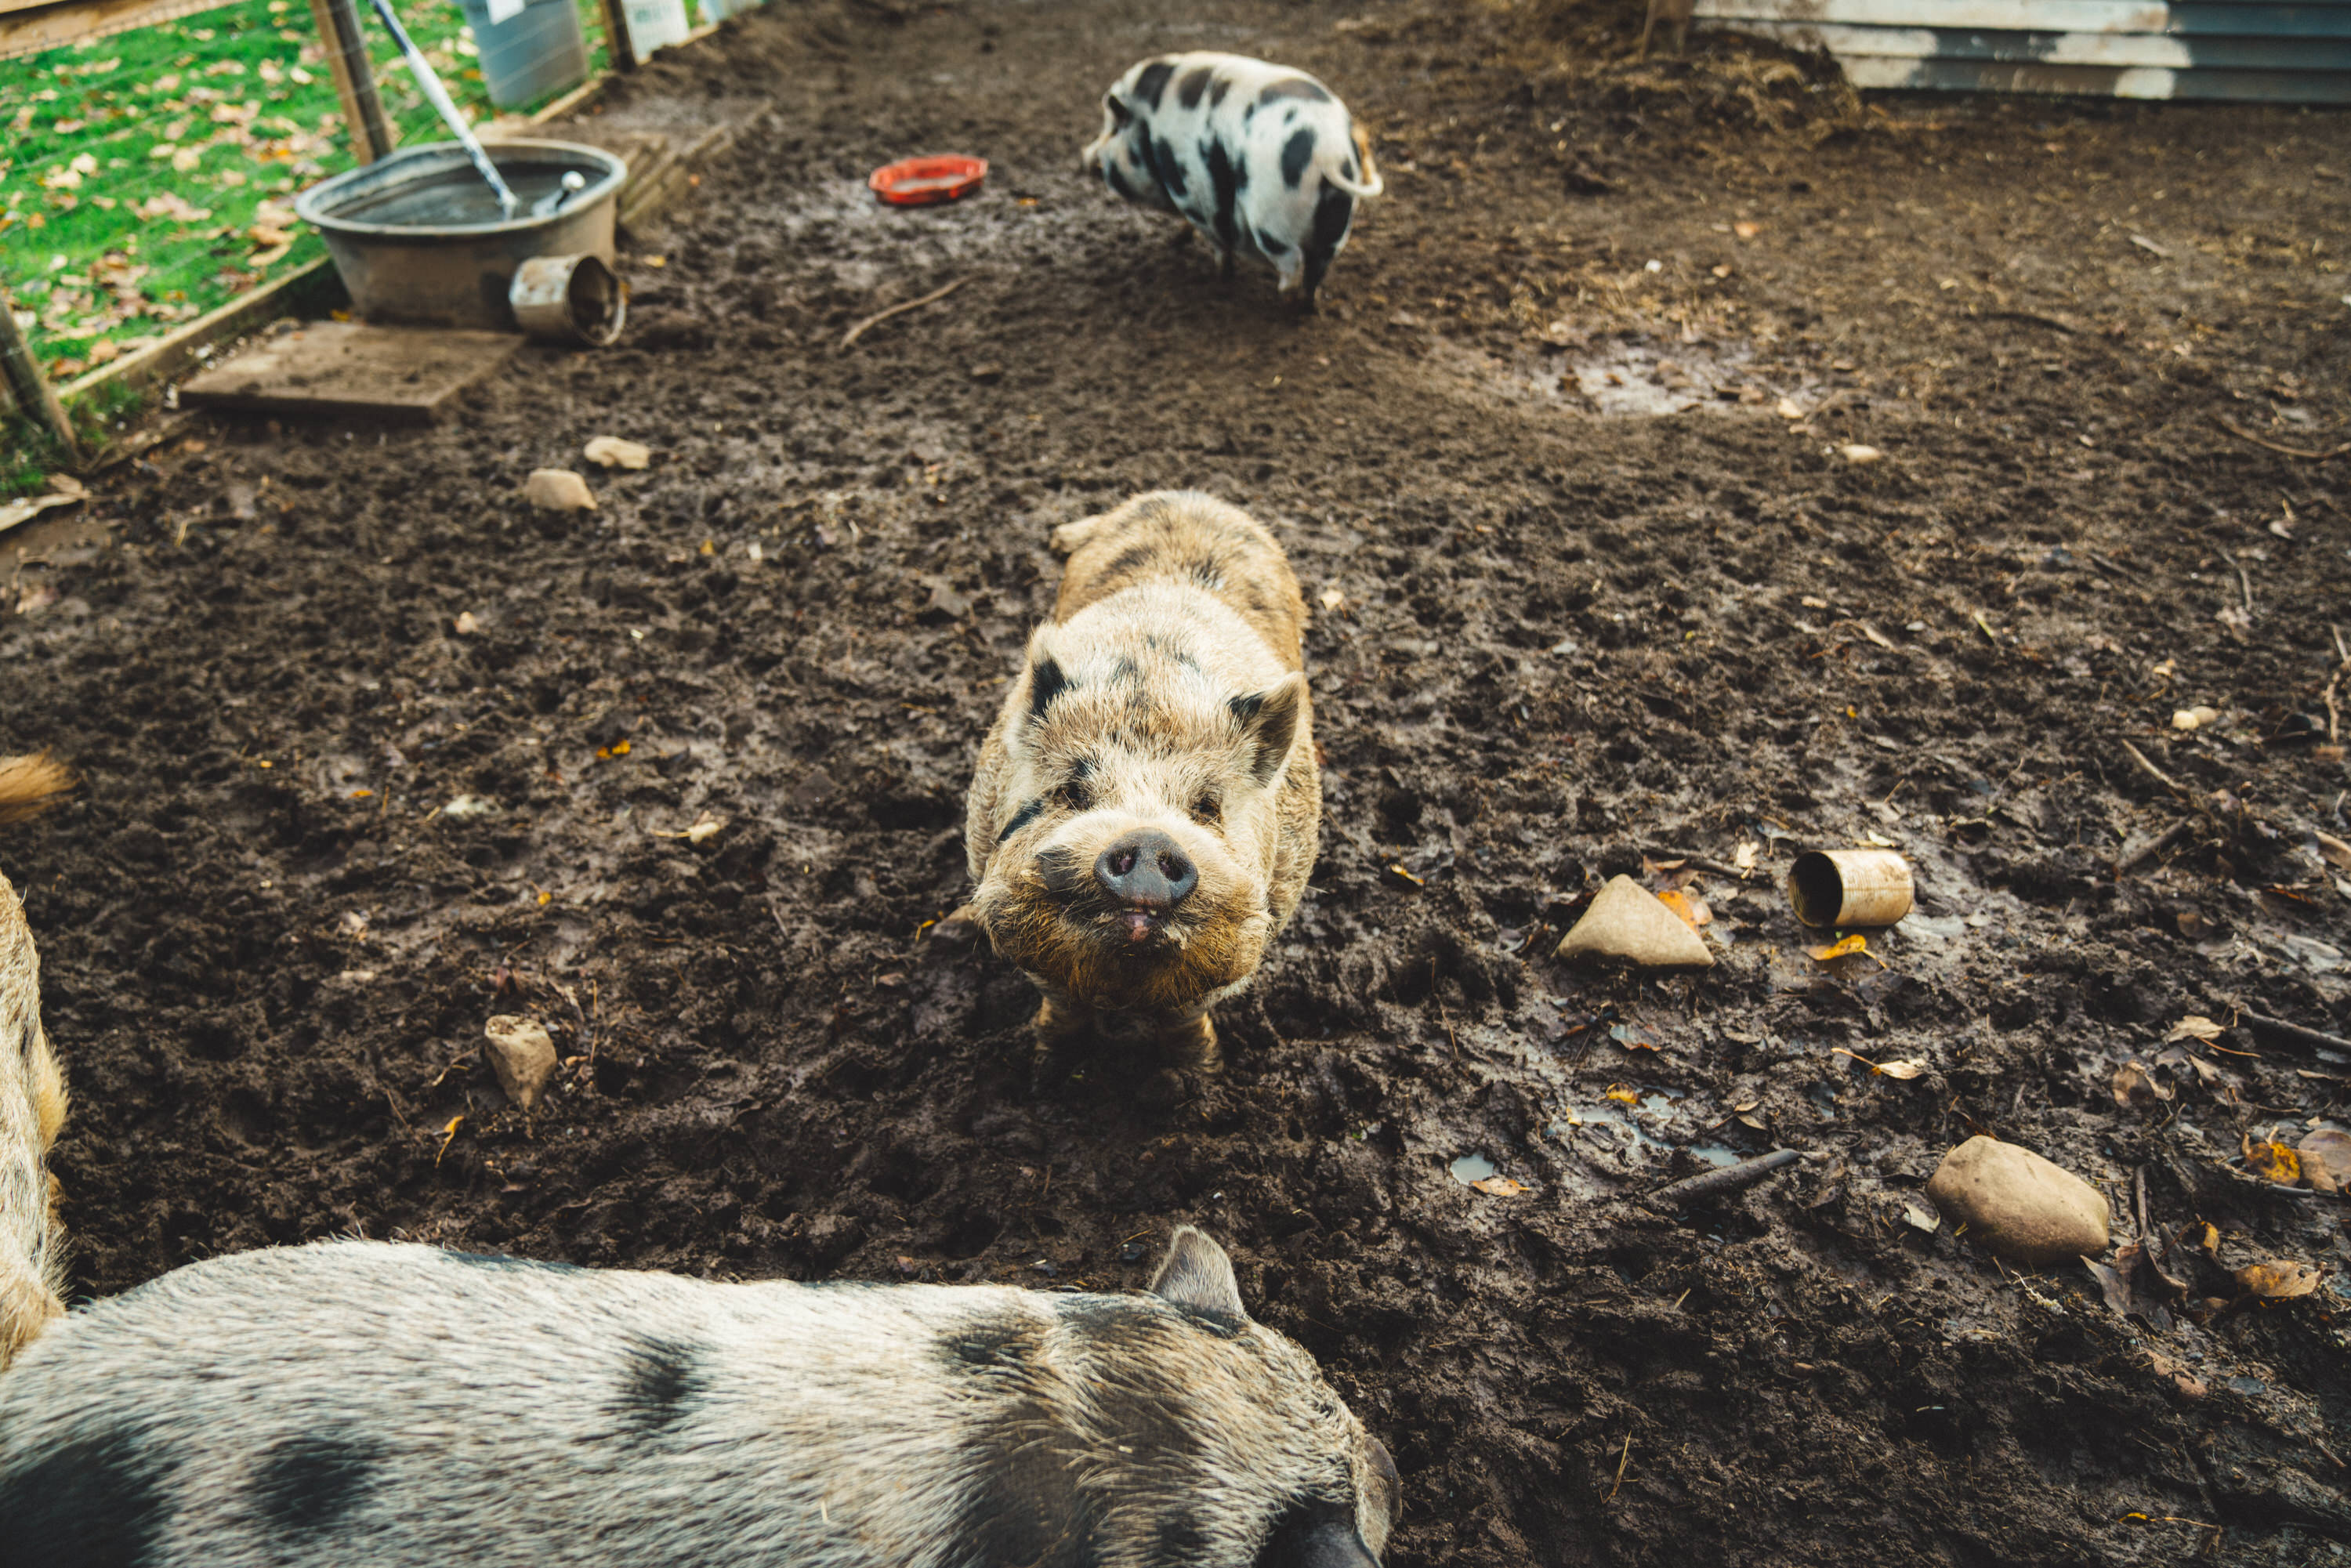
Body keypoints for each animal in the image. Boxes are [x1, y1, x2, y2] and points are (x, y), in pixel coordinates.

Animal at [947, 492, 1319, 1059]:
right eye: (1072, 790)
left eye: (1207, 806)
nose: (1148, 841)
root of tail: (1191, 496)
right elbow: (1060, 998)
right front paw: (1046, 1054)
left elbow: (1187, 1011)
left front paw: (1201, 1068)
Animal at [1083, 52, 1383, 309]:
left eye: (1113, 128)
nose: (1085, 157)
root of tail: (1329, 154)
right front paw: (1177, 241)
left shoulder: (1193, 196)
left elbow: (1216, 239)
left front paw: (1220, 276)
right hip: (1335, 230)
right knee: (1316, 271)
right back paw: (1308, 308)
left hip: (1272, 222)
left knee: (1292, 267)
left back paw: (1283, 305)